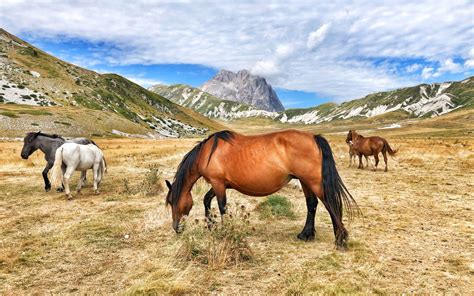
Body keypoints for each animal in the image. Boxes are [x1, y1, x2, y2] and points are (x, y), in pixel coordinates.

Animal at [165, 131, 358, 249]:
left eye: (173, 201)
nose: (176, 228)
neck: (207, 153)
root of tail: (314, 137)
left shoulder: (218, 183)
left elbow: (221, 207)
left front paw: (223, 229)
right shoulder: (220, 184)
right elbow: (206, 200)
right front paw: (211, 224)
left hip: (314, 181)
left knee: (330, 204)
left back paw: (340, 239)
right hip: (305, 182)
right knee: (312, 204)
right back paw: (306, 234)